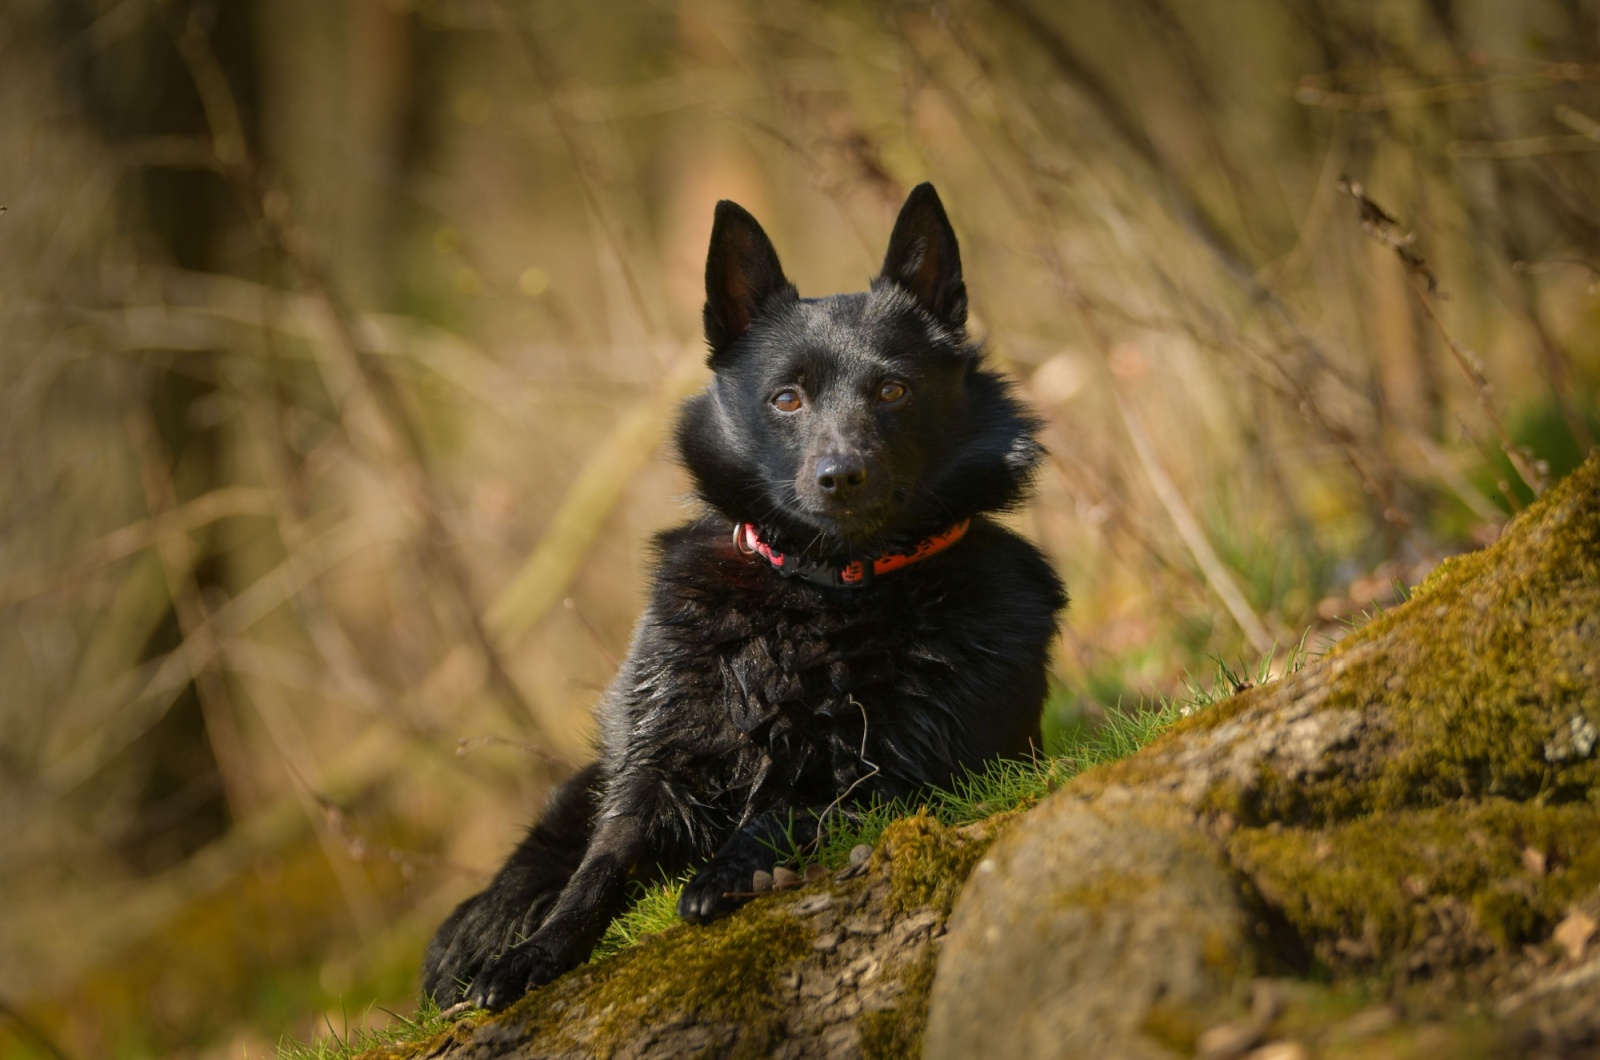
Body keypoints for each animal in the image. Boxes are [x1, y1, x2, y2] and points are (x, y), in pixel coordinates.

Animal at [425, 182, 1068, 1011]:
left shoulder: (913, 769)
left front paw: (728, 869)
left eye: (893, 389)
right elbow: (602, 862)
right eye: (786, 399)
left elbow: (792, 806)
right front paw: (535, 952)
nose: (840, 476)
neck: (821, 591)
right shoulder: (656, 761)